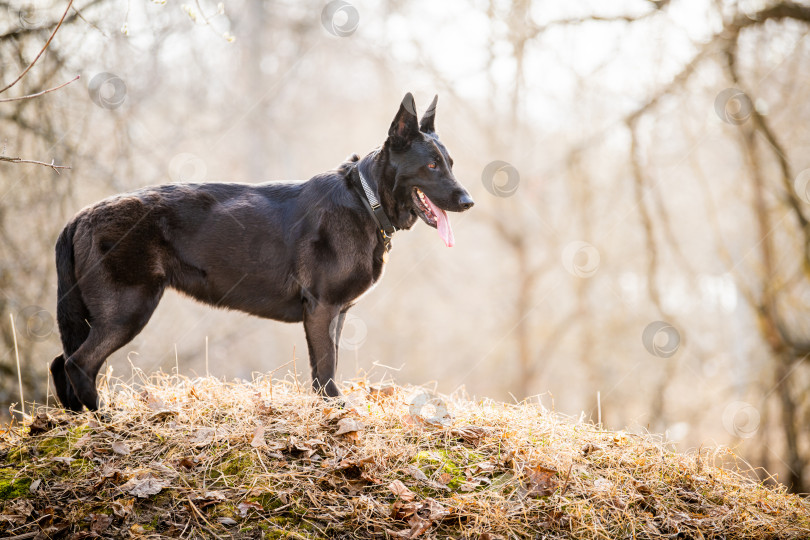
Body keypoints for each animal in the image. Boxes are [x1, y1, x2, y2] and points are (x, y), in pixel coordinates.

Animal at [50, 95, 474, 412]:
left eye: (451, 164)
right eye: (432, 165)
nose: (468, 201)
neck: (364, 200)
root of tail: (79, 216)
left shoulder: (336, 313)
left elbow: (328, 368)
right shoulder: (321, 309)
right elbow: (325, 371)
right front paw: (334, 412)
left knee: (61, 363)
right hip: (128, 309)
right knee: (77, 363)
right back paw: (102, 416)